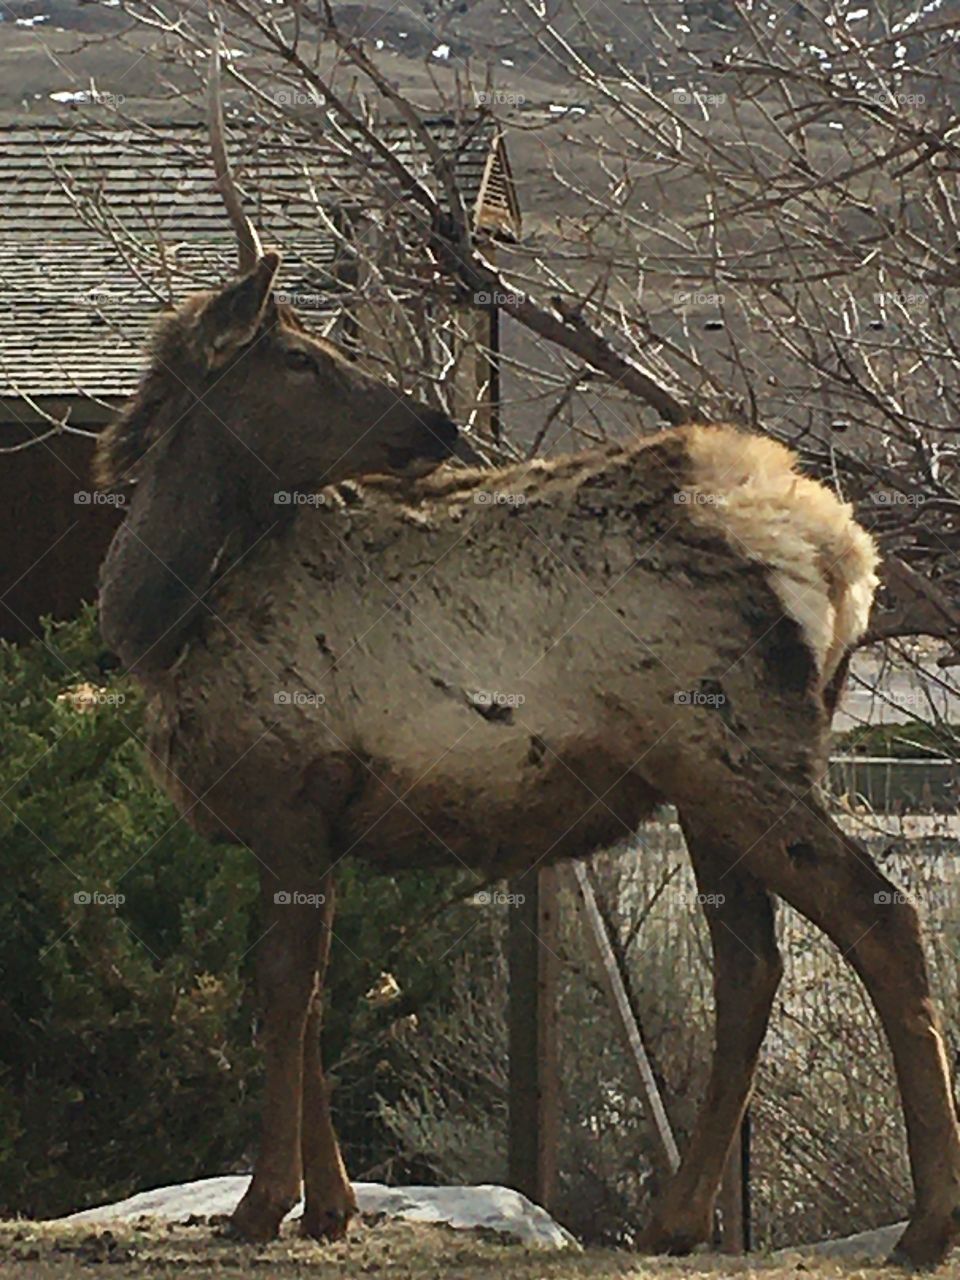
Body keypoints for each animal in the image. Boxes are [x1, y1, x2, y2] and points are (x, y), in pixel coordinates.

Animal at [95, 46, 960, 1267]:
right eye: (305, 362)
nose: (438, 426)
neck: (167, 618)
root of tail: (850, 557)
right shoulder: (310, 824)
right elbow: (311, 1004)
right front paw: (333, 1204)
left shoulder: (291, 792)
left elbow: (281, 999)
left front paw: (263, 1206)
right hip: (707, 777)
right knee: (752, 963)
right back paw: (677, 1216)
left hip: (736, 748)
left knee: (880, 918)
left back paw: (924, 1220)